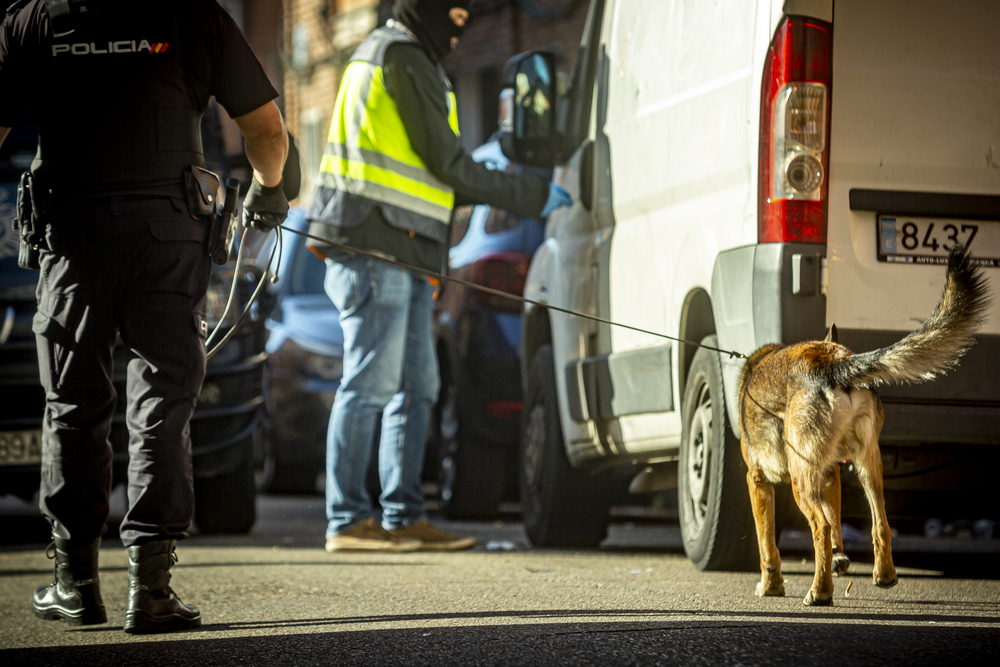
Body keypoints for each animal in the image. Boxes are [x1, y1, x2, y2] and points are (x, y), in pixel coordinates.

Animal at [740, 244, 988, 604]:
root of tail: (835, 363)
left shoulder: (757, 481)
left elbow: (767, 544)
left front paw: (770, 585)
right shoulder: (832, 474)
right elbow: (837, 526)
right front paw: (838, 560)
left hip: (803, 481)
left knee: (821, 527)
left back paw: (820, 591)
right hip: (868, 464)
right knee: (880, 523)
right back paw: (883, 575)